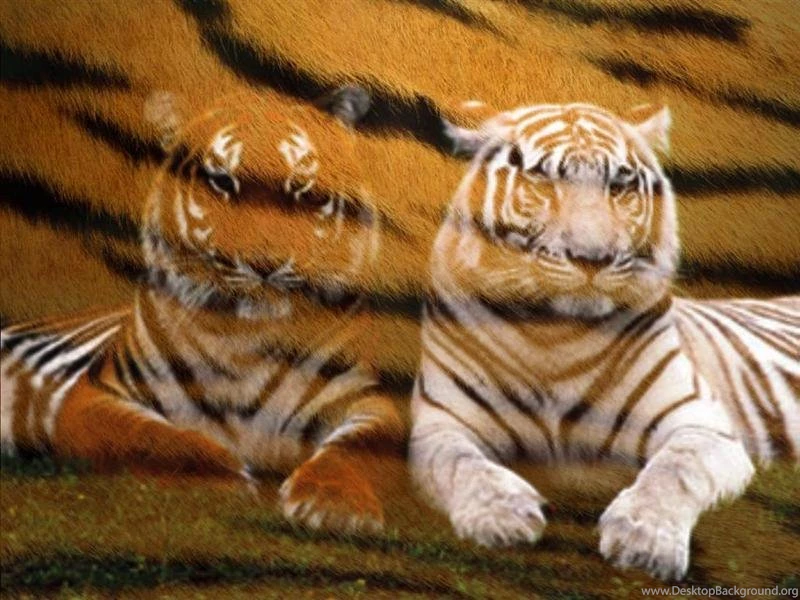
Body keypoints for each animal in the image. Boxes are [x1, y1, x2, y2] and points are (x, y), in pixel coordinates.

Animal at [0, 86, 404, 534]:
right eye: (222, 181)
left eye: (300, 185)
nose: (265, 263)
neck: (247, 337)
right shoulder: (94, 395)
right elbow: (153, 439)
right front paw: (228, 481)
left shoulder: (365, 401)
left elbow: (357, 446)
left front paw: (334, 502)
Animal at [409, 102, 800, 581]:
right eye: (544, 180)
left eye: (619, 186)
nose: (592, 258)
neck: (553, 331)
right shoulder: (442, 424)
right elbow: (460, 464)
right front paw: (501, 515)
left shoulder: (702, 423)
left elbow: (674, 469)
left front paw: (644, 539)